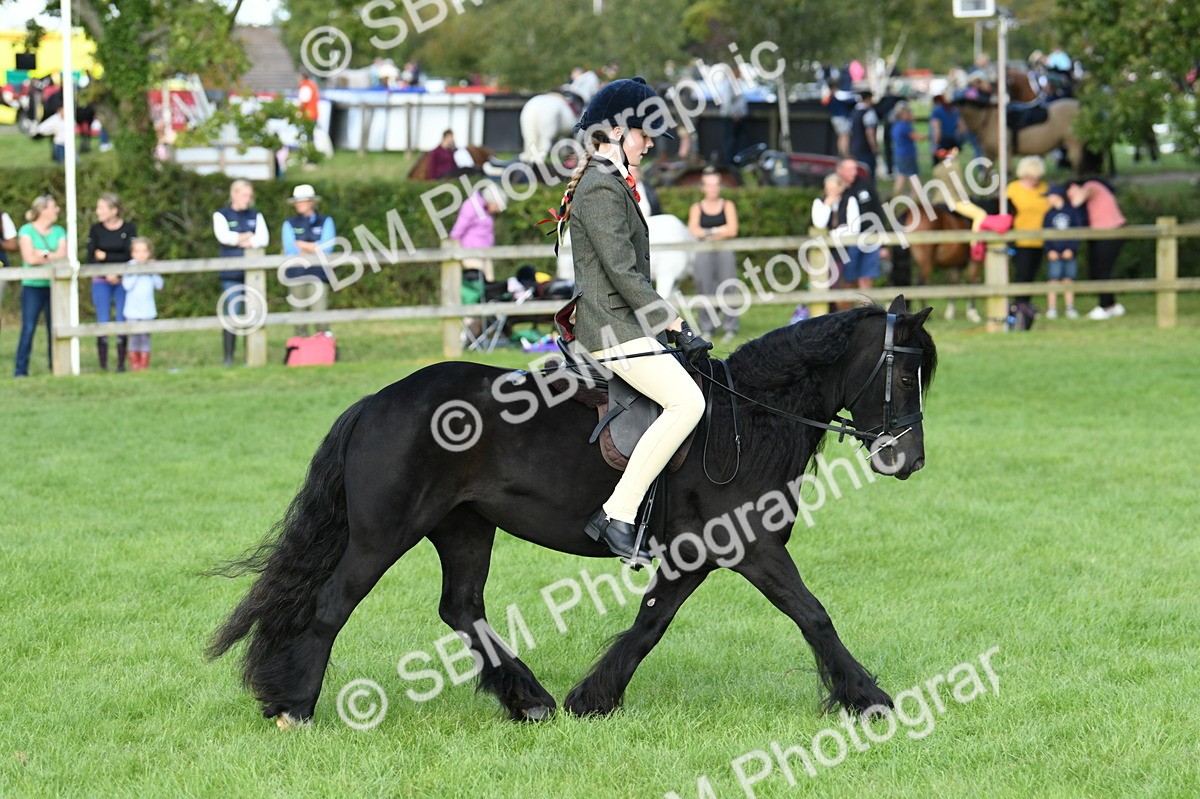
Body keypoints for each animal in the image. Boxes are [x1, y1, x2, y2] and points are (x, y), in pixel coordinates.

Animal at [208, 298, 937, 727]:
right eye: (906, 373)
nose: (909, 460)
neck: (747, 419)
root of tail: (377, 401)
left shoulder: (697, 555)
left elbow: (651, 622)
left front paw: (595, 697)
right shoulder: (753, 547)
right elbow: (813, 614)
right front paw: (869, 698)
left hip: (464, 527)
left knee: (461, 608)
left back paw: (529, 700)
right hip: (384, 534)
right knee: (334, 603)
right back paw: (295, 706)